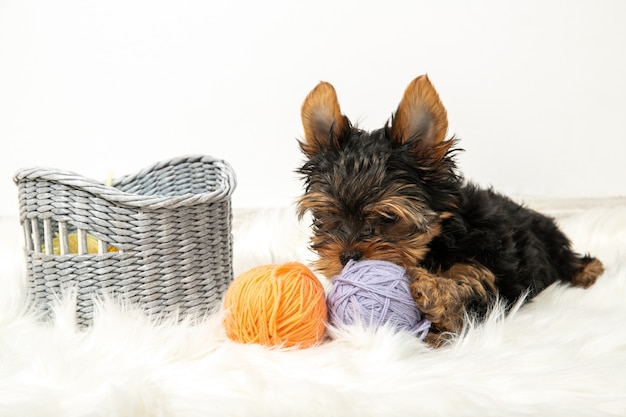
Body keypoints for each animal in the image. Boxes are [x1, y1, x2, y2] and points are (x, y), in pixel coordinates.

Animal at [298, 74, 604, 344]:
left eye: (389, 217)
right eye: (329, 215)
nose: (347, 256)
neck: (439, 241)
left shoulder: (486, 270)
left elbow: (463, 289)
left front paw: (430, 290)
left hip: (547, 239)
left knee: (566, 257)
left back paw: (587, 271)